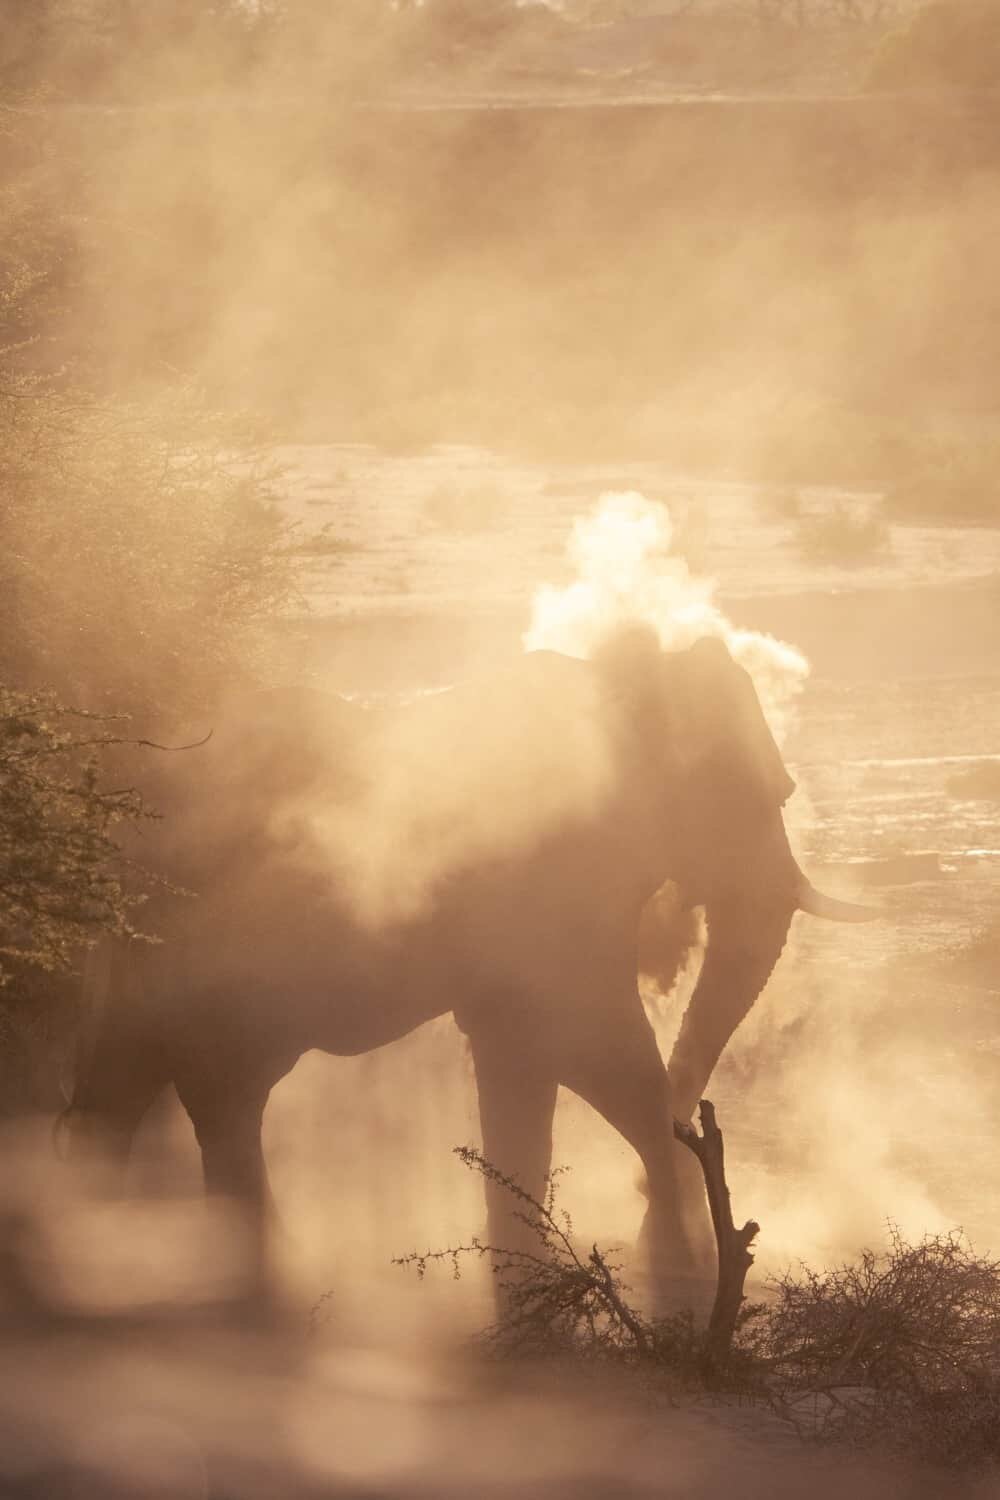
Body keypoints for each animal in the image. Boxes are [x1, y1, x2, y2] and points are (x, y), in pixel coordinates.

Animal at [68, 621, 869, 1302]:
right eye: (766, 794)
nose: (698, 1131)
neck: (623, 681)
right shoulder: (555, 878)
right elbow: (597, 1052)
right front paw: (682, 1270)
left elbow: (521, 1061)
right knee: (222, 1091)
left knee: (123, 1083)